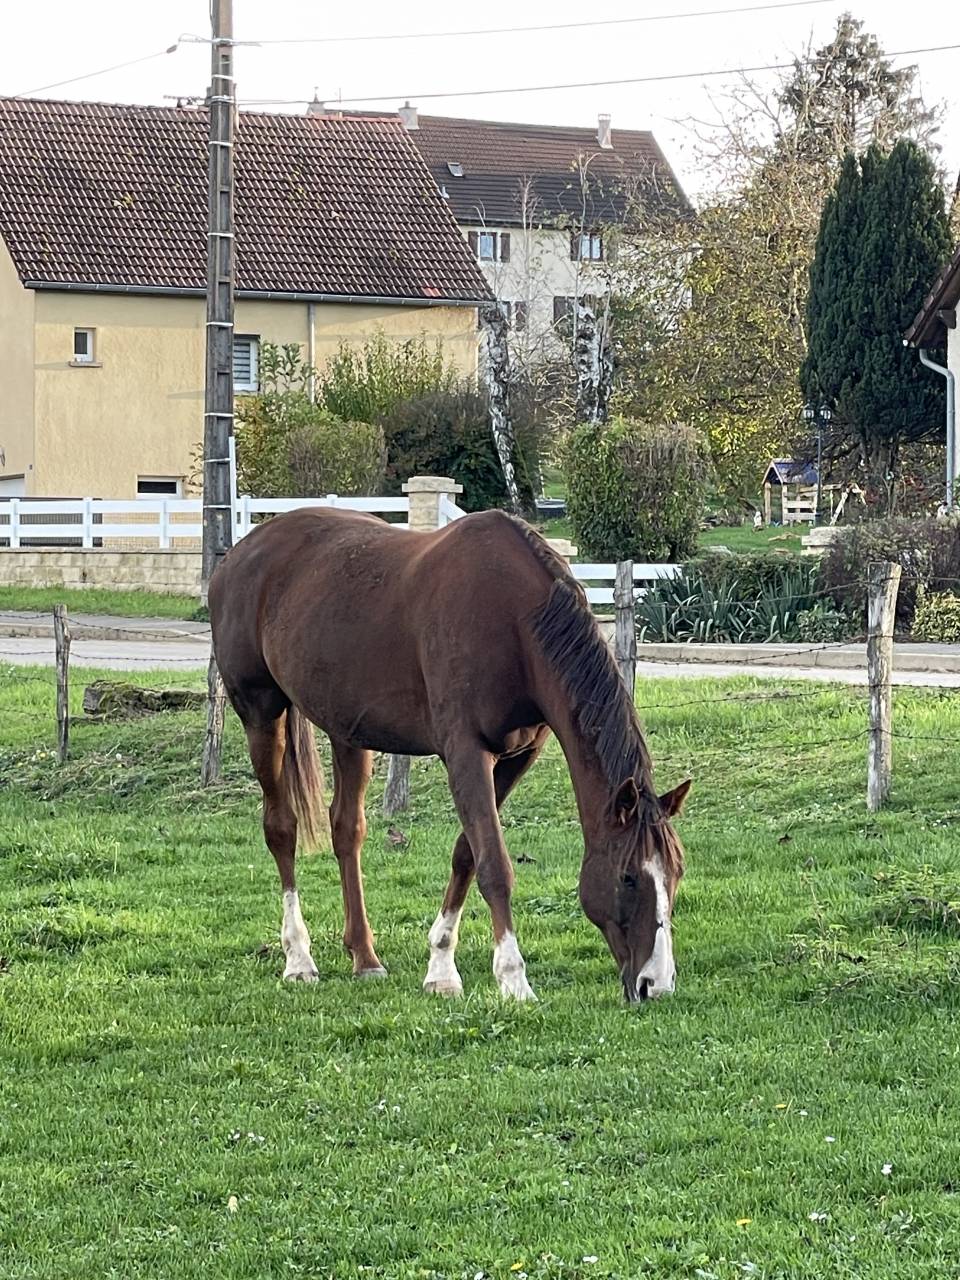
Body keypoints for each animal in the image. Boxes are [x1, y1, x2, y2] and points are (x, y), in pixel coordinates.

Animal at [208, 507, 691, 1003]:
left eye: (676, 873)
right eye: (628, 876)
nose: (655, 984)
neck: (513, 621)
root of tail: (240, 553)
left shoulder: (518, 755)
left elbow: (466, 853)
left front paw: (440, 966)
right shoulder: (465, 752)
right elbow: (494, 864)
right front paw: (513, 978)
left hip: (348, 732)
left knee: (346, 830)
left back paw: (365, 956)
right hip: (261, 713)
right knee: (281, 828)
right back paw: (298, 958)